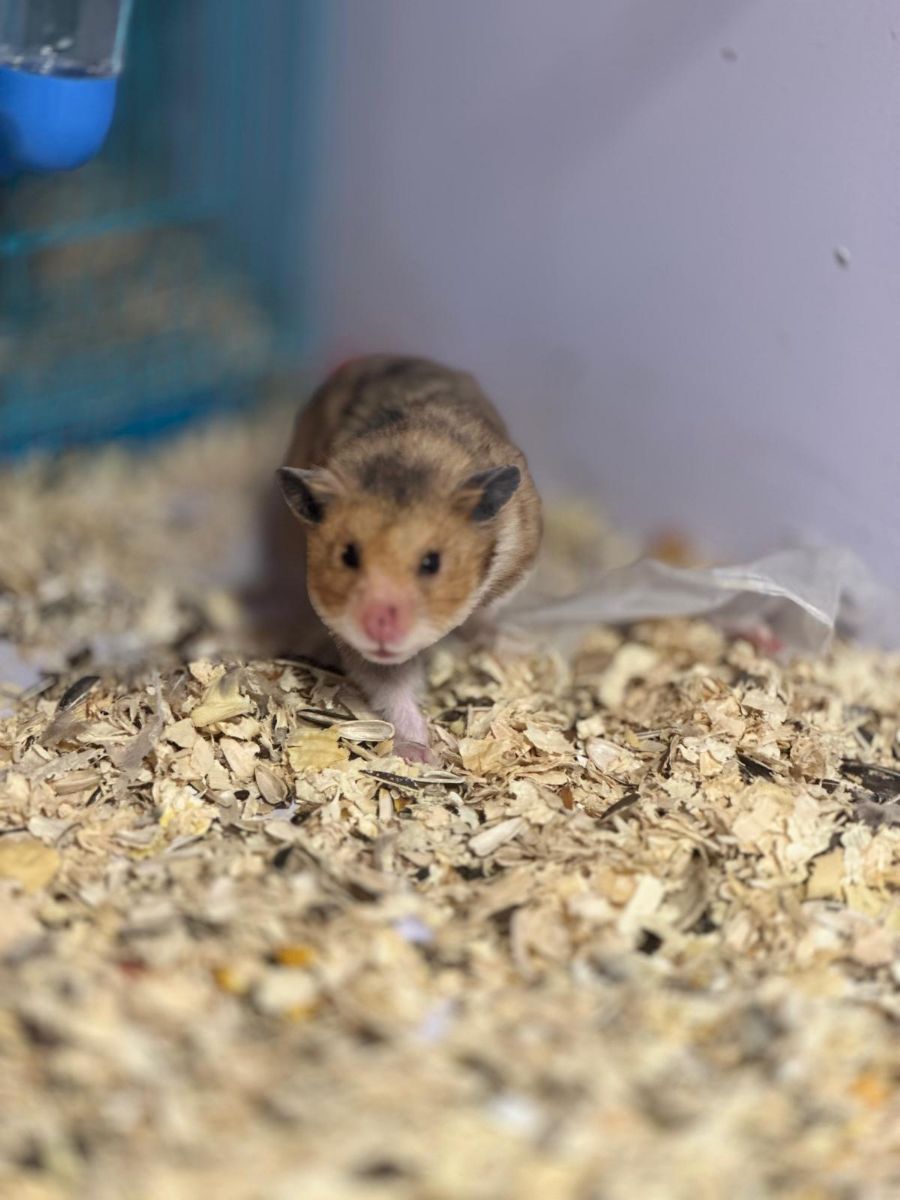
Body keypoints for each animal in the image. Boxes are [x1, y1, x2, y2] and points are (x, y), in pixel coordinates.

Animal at [274, 355, 542, 761]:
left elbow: (486, 619)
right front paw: (417, 754)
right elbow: (394, 689)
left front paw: (505, 652)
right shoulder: (363, 647)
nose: (380, 631)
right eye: (348, 555)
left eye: (432, 562)